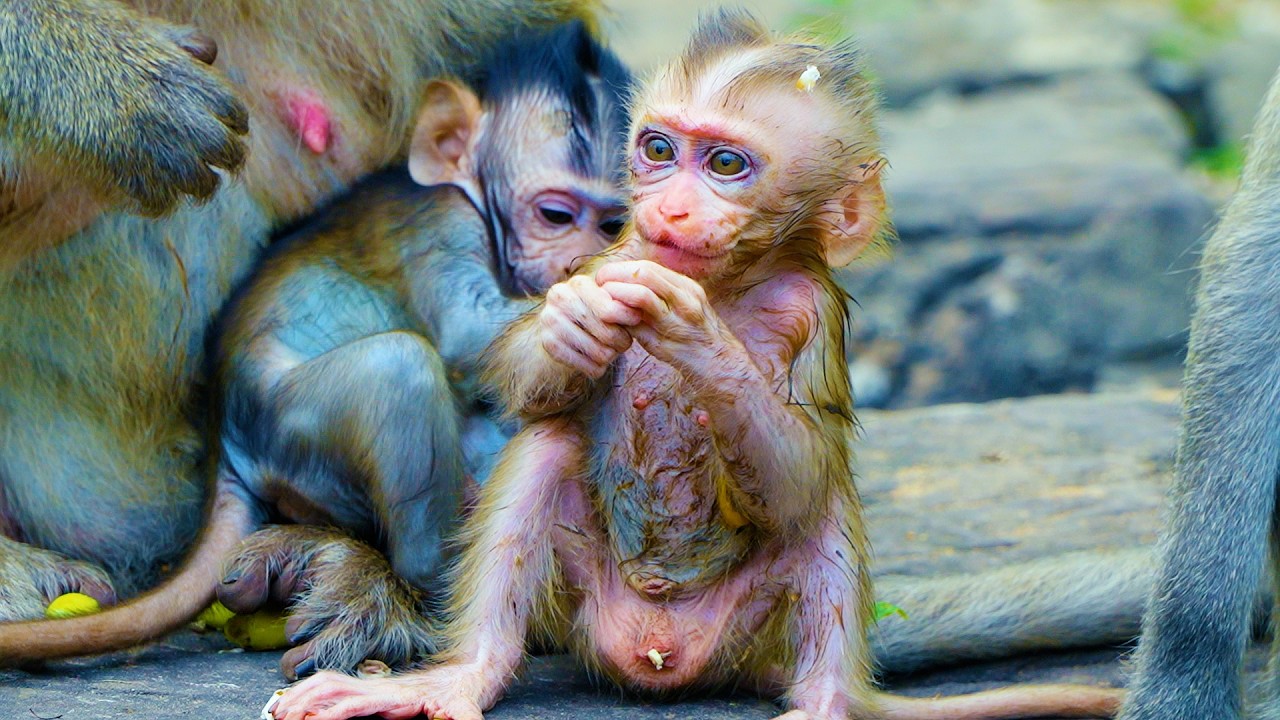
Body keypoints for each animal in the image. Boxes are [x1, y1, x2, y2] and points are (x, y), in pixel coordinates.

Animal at [0, 19, 632, 674]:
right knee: (398, 366)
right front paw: (575, 313)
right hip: (289, 428)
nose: (576, 260)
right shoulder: (445, 227)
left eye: (610, 223)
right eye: (555, 214)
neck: (472, 195)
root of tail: (227, 443)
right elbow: (463, 333)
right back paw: (431, 582)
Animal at [271, 13, 1125, 720]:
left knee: (820, 506)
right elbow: (524, 382)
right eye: (658, 150)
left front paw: (702, 339)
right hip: (580, 612)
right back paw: (463, 676)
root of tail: (658, 653)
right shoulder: (615, 254)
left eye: (724, 164)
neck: (729, 280)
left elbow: (799, 473)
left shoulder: (811, 309)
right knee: (546, 449)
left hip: (750, 633)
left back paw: (825, 703)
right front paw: (571, 324)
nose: (671, 208)